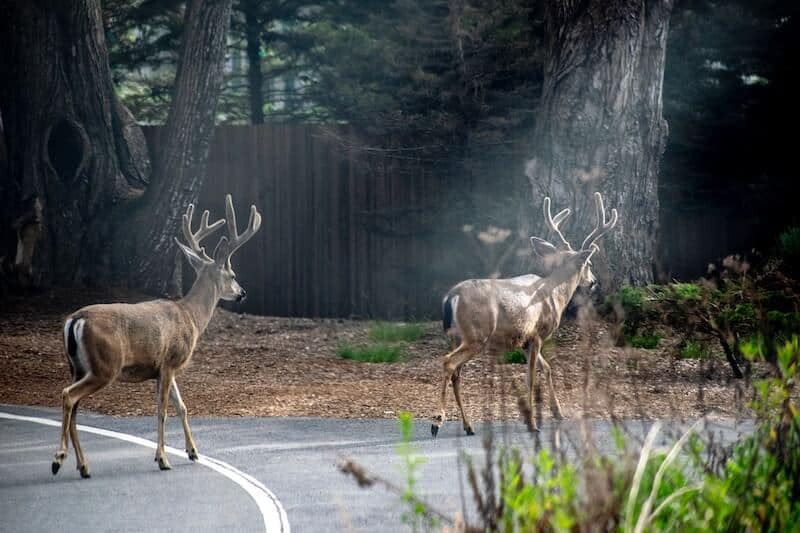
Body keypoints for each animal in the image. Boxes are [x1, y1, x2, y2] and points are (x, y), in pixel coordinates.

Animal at [52, 194, 261, 477]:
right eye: (232, 275)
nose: (242, 293)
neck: (191, 316)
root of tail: (75, 320)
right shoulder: (171, 361)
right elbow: (162, 411)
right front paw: (162, 459)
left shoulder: (162, 368)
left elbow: (182, 406)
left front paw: (193, 451)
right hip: (104, 366)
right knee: (68, 396)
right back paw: (59, 459)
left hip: (76, 367)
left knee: (74, 407)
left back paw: (83, 466)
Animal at [431, 192, 618, 437]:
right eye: (588, 263)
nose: (594, 281)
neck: (555, 293)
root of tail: (451, 296)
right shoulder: (537, 333)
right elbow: (530, 378)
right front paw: (532, 423)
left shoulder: (523, 340)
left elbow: (547, 368)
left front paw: (558, 412)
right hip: (476, 335)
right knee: (448, 363)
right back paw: (436, 422)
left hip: (456, 337)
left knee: (456, 374)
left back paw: (468, 426)